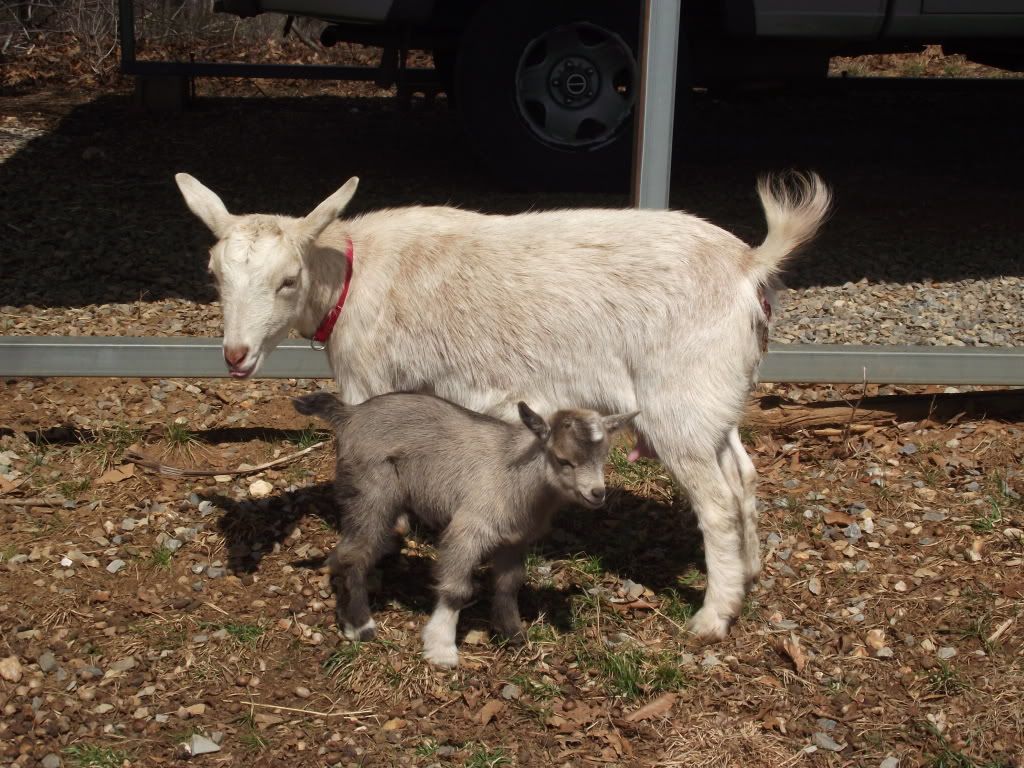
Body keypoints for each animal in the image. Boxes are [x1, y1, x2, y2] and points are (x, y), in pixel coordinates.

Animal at [292, 391, 637, 667]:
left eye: (604, 456)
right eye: (562, 459)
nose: (597, 493)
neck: (517, 476)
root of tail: (349, 414)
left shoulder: (514, 540)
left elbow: (509, 584)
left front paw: (512, 633)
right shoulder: (469, 529)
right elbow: (457, 589)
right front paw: (441, 648)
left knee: (344, 550)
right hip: (372, 493)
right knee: (357, 554)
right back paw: (362, 625)